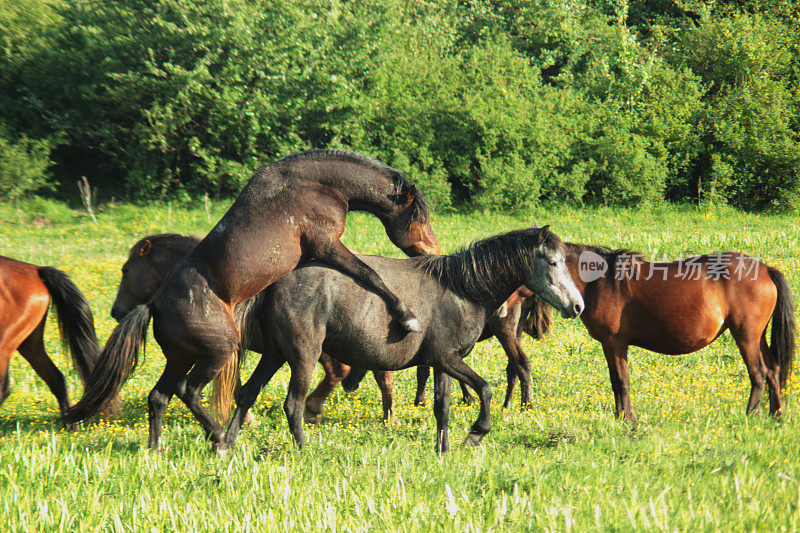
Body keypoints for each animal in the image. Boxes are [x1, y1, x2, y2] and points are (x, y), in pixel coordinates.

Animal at [0, 254, 103, 424]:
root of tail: (36, 270)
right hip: (29, 344)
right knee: (56, 379)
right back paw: (69, 426)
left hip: (5, 345)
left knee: (4, 389)